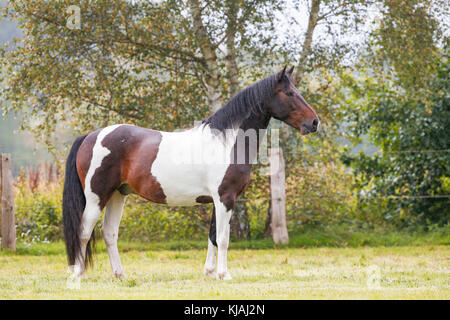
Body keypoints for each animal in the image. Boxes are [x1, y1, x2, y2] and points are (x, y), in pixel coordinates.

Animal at [63, 65, 318, 280]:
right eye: (289, 93)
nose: (314, 122)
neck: (226, 141)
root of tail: (90, 136)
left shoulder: (218, 200)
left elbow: (213, 236)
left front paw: (210, 273)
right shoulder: (225, 198)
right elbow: (223, 238)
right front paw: (224, 275)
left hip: (118, 195)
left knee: (109, 233)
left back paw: (120, 275)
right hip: (97, 197)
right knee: (84, 231)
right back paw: (78, 275)